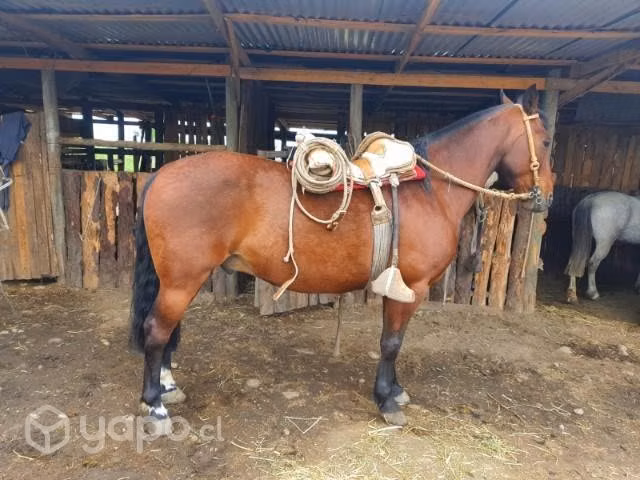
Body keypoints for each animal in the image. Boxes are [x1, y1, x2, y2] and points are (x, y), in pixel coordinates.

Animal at [129, 85, 554, 433]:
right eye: (547, 141)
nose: (546, 197)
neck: (432, 191)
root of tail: (163, 173)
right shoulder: (411, 287)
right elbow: (391, 342)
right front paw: (386, 401)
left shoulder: (399, 288)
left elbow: (393, 340)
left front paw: (394, 390)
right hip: (183, 280)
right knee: (156, 330)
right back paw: (155, 407)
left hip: (180, 280)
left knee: (165, 331)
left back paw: (167, 388)